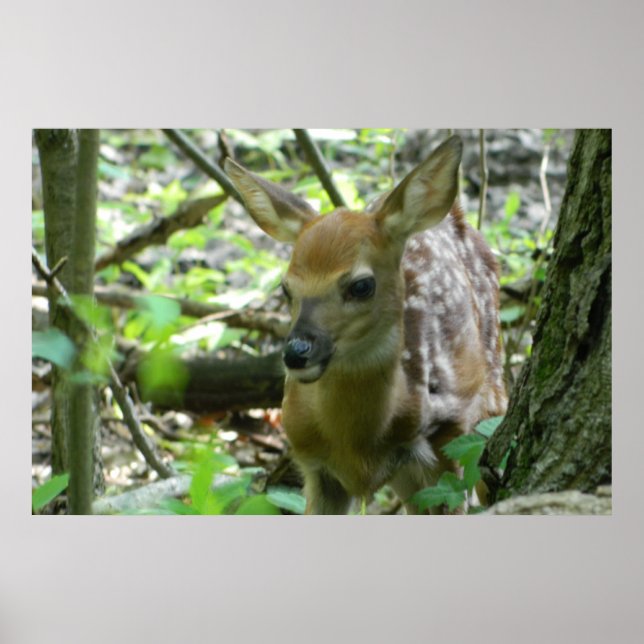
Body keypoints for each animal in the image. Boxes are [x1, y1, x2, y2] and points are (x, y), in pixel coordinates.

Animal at [224, 135, 507, 514]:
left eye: (361, 286)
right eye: (285, 288)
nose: (297, 352)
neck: (357, 444)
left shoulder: (446, 441)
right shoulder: (313, 463)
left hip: (491, 392)